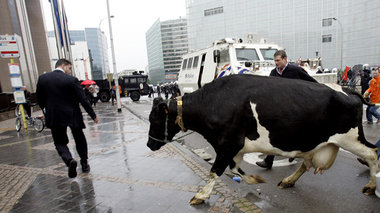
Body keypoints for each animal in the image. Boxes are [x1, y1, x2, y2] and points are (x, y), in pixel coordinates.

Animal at [146, 74, 378, 205]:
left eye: (153, 119)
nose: (149, 144)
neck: (213, 103)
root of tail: (347, 89)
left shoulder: (228, 144)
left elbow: (215, 171)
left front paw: (201, 196)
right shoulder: (234, 148)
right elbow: (234, 169)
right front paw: (254, 180)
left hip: (350, 139)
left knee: (372, 153)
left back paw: (371, 186)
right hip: (314, 142)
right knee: (306, 163)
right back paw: (288, 180)